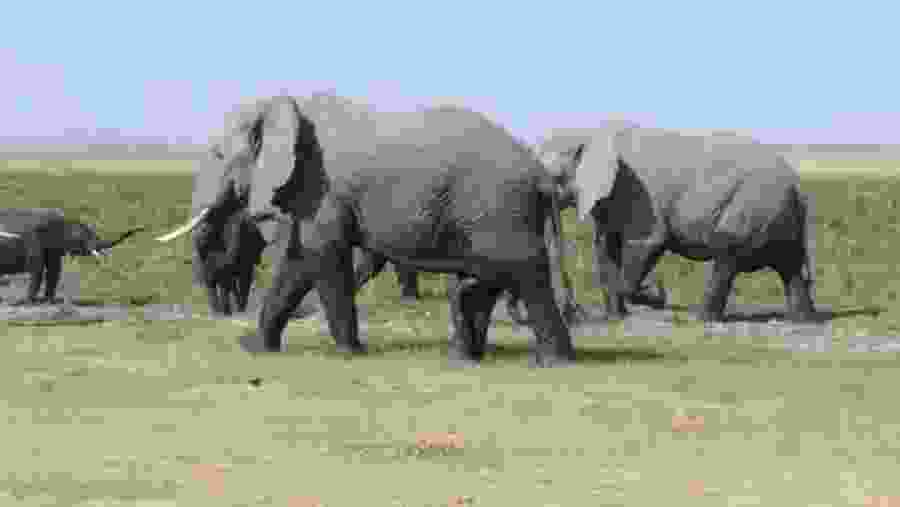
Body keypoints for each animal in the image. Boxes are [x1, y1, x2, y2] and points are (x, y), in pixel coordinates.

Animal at [0, 208, 144, 304]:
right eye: (83, 236)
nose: (142, 228)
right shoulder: (33, 241)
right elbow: (37, 270)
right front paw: (29, 302)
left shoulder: (52, 248)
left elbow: (54, 271)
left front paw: (48, 301)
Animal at [157, 93, 577, 367]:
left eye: (217, 155)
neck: (283, 105)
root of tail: (541, 175)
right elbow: (298, 263)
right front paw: (256, 349)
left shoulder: (321, 187)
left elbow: (322, 257)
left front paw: (349, 354)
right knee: (483, 278)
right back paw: (466, 358)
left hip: (499, 207)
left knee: (524, 273)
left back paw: (554, 362)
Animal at [537, 123, 816, 322]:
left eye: (556, 177)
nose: (573, 313)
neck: (591, 134)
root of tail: (797, 185)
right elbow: (606, 248)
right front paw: (616, 319)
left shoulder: (637, 193)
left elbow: (647, 244)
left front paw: (654, 294)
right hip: (778, 216)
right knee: (789, 266)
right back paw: (802, 321)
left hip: (750, 209)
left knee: (726, 259)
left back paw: (701, 319)